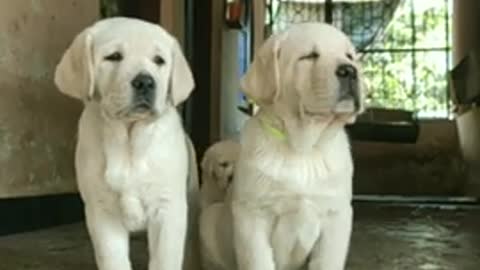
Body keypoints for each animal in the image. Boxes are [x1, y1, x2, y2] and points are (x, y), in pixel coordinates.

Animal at [53, 17, 200, 270]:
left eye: (159, 60)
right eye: (113, 56)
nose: (145, 82)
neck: (129, 141)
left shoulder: (168, 209)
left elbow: (165, 260)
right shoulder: (102, 212)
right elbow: (114, 260)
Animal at [202, 22, 364, 270]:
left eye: (349, 56)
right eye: (309, 56)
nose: (350, 71)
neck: (303, 149)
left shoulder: (337, 216)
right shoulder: (252, 217)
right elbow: (258, 261)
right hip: (210, 221)